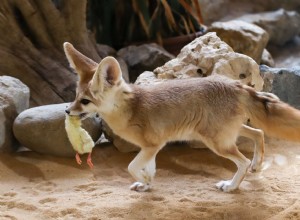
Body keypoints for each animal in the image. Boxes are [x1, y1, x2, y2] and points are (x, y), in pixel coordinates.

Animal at [64, 42, 300, 192]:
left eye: (85, 101)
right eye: (75, 96)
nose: (67, 111)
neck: (131, 107)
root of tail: (236, 85)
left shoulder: (152, 145)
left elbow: (131, 167)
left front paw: (145, 180)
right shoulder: (152, 148)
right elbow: (149, 168)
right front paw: (147, 184)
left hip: (217, 143)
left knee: (242, 161)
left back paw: (232, 186)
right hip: (227, 133)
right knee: (259, 133)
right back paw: (257, 165)